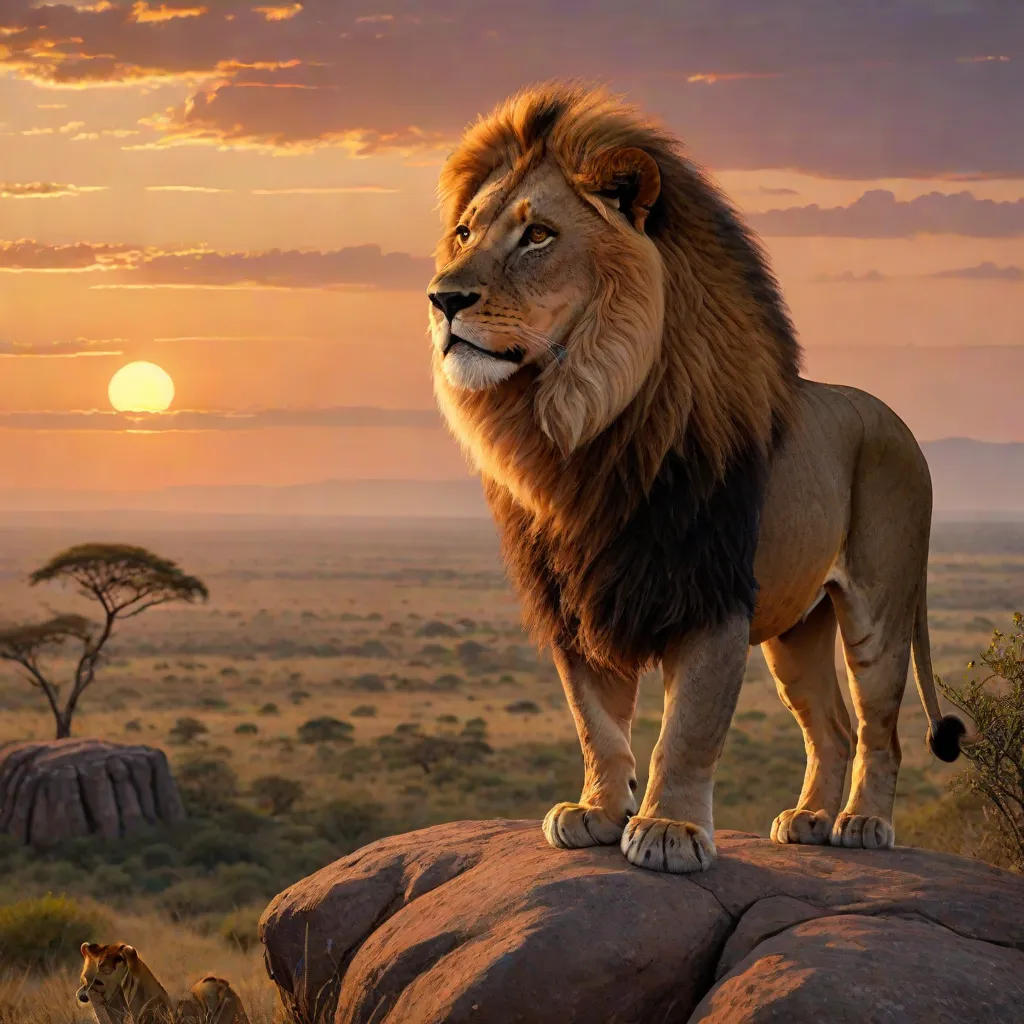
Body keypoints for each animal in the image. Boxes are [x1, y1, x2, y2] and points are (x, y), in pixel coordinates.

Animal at [427, 83, 965, 873]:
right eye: (464, 233)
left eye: (538, 236)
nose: (442, 299)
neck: (581, 425)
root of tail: (898, 422)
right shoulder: (575, 600)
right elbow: (594, 721)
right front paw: (596, 810)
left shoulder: (710, 590)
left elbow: (689, 727)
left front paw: (668, 830)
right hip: (797, 628)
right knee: (831, 727)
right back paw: (809, 818)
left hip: (880, 604)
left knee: (879, 729)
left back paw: (864, 823)